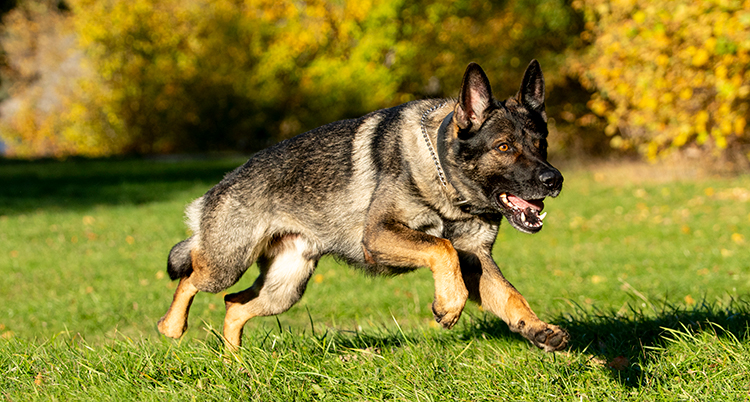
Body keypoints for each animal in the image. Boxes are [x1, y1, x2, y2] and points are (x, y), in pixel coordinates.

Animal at [160, 59, 568, 352]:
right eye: (504, 147)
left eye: (541, 144)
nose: (554, 180)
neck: (442, 173)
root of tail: (221, 185)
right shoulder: (380, 235)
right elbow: (441, 247)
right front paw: (449, 304)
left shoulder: (476, 260)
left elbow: (509, 295)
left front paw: (537, 329)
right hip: (228, 263)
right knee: (190, 276)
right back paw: (172, 326)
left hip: (285, 287)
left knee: (234, 306)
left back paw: (236, 363)